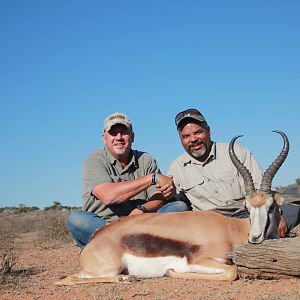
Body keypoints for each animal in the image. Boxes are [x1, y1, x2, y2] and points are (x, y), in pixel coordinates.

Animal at [55, 130, 290, 284]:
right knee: (66, 279)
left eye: (271, 206)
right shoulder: (200, 260)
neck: (231, 229)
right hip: (107, 269)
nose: (255, 238)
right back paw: (127, 278)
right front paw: (171, 272)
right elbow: (232, 272)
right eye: (247, 207)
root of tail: (92, 244)